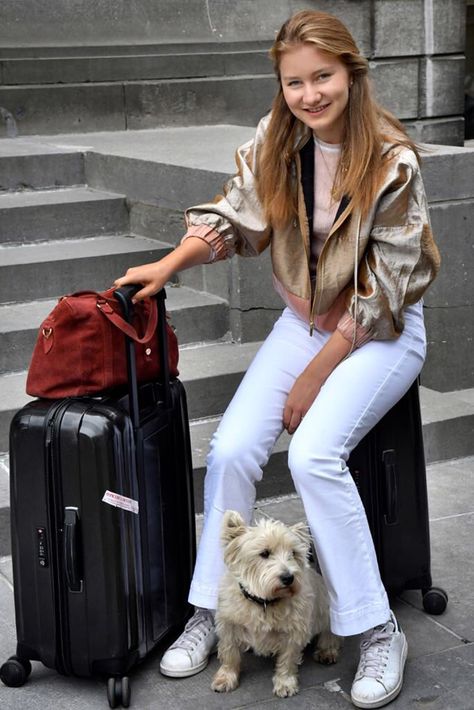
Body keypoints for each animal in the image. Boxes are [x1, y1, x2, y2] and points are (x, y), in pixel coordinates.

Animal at [213, 512, 342, 700]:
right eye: (264, 553)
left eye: (293, 553)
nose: (288, 578)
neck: (265, 602)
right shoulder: (228, 624)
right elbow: (229, 652)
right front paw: (226, 678)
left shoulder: (294, 632)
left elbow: (288, 659)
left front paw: (285, 683)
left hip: (325, 611)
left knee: (330, 634)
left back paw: (327, 651)